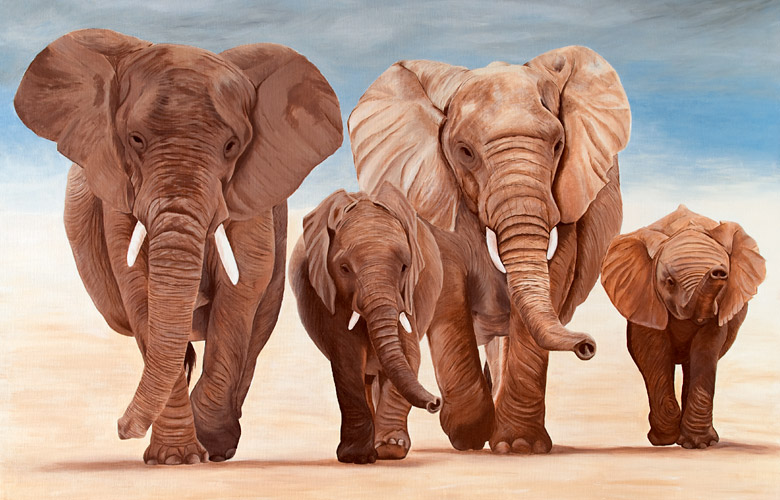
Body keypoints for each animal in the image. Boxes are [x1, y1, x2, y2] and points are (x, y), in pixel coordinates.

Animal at [14, 29, 342, 464]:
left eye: (232, 146)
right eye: (135, 139)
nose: (120, 428)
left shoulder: (252, 195)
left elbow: (244, 286)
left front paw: (212, 445)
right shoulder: (119, 191)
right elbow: (138, 289)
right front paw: (176, 458)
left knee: (259, 322)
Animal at [289, 183, 442, 464]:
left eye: (405, 267)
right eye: (344, 268)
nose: (435, 402)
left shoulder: (411, 292)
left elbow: (409, 354)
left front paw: (391, 448)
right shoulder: (325, 291)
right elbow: (347, 358)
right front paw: (357, 457)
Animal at [347, 46, 630, 453]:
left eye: (558, 146)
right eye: (465, 152)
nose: (587, 345)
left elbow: (557, 271)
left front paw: (518, 446)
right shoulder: (429, 190)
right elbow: (448, 280)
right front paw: (468, 433)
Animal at [601, 205, 765, 448]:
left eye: (725, 281)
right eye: (669, 282)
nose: (718, 272)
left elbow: (706, 350)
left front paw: (699, 444)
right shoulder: (644, 296)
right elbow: (653, 352)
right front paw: (663, 439)